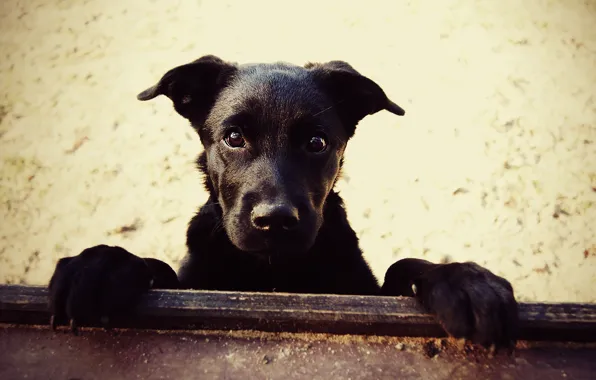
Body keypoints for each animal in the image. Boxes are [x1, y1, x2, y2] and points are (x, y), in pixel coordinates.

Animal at [50, 55, 516, 348]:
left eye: (316, 142)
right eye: (233, 137)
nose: (274, 220)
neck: (273, 270)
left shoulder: (361, 289)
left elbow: (403, 266)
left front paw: (465, 281)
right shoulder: (193, 279)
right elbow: (158, 268)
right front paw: (102, 263)